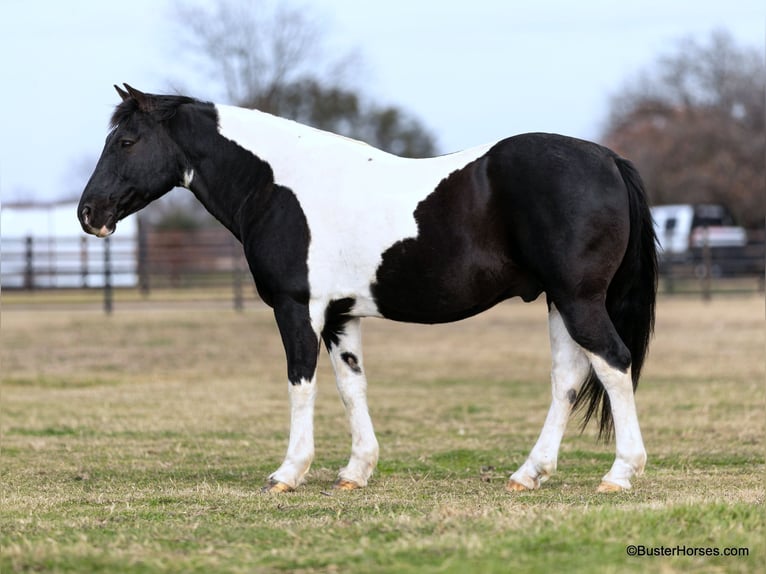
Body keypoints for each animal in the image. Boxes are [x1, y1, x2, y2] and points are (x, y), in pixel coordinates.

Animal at [78, 84, 657, 494]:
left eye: (126, 141)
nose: (89, 214)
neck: (277, 184)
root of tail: (608, 159)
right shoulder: (341, 316)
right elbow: (349, 386)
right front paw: (356, 471)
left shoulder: (297, 308)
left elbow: (301, 383)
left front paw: (288, 473)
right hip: (561, 302)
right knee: (568, 378)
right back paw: (528, 474)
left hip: (579, 300)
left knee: (613, 364)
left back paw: (619, 474)